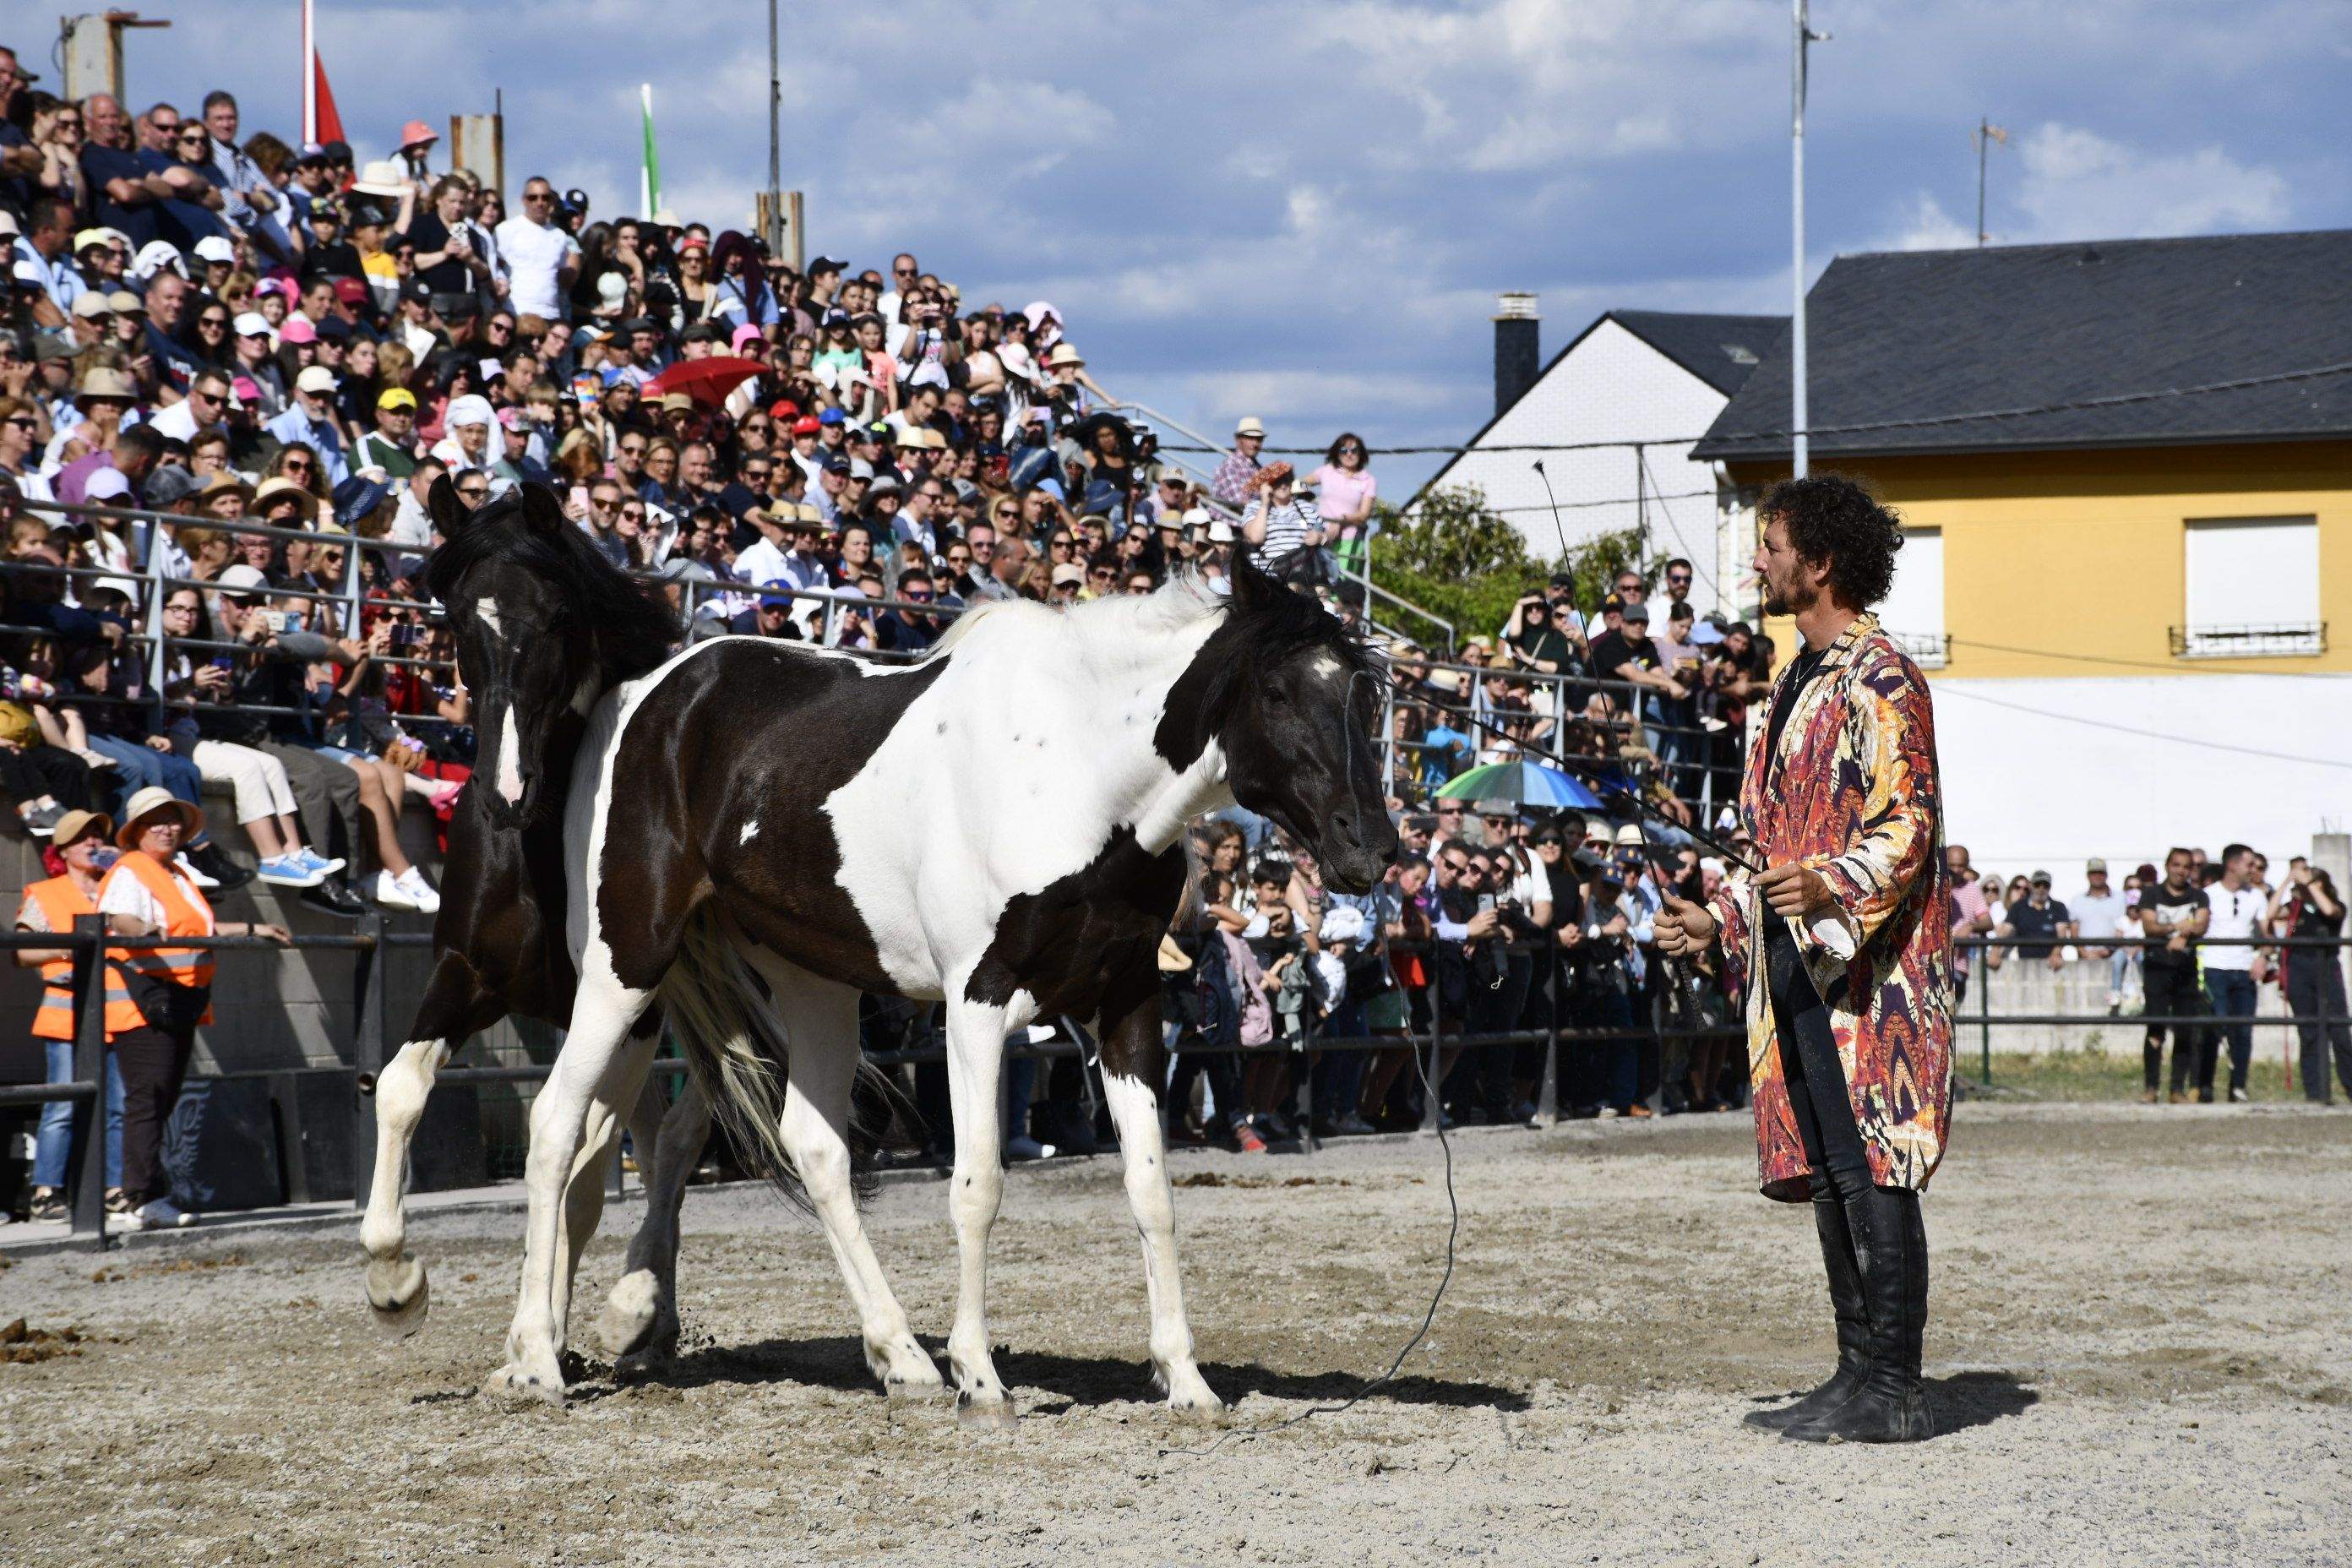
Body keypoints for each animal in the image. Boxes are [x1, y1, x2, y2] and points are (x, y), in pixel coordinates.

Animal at [359, 482, 682, 1335]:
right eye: (456, 621)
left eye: (559, 616)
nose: (505, 792)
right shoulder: (467, 974)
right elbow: (399, 1089)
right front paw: (396, 1282)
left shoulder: (630, 1010)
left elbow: (587, 1167)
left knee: (673, 1137)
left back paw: (639, 1304)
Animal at [489, 557, 1382, 1419]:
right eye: (1277, 693)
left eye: (1367, 698)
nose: (1370, 849)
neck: (1074, 771)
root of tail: (644, 696)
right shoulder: (976, 1004)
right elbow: (978, 1184)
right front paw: (980, 1379)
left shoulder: (1127, 1005)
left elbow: (1151, 1190)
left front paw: (1185, 1380)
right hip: (623, 966)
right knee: (557, 1124)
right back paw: (534, 1360)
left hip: (811, 982)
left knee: (813, 1147)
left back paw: (900, 1358)